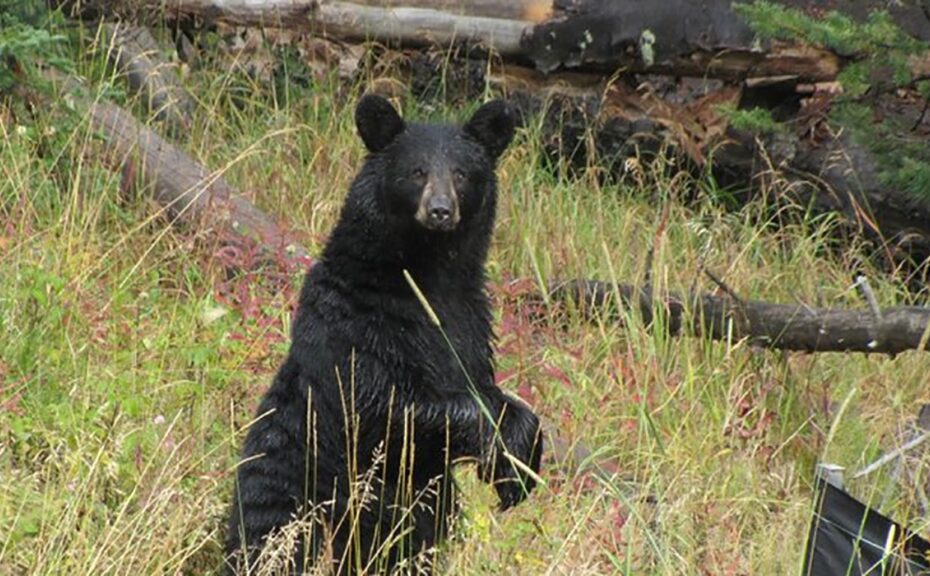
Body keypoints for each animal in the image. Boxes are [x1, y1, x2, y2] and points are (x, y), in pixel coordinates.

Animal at [224, 95, 540, 576]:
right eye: (417, 171)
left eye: (462, 173)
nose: (441, 210)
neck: (429, 275)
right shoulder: (357, 322)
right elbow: (382, 403)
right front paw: (498, 443)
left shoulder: (470, 327)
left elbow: (482, 385)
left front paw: (518, 463)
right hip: (294, 510)